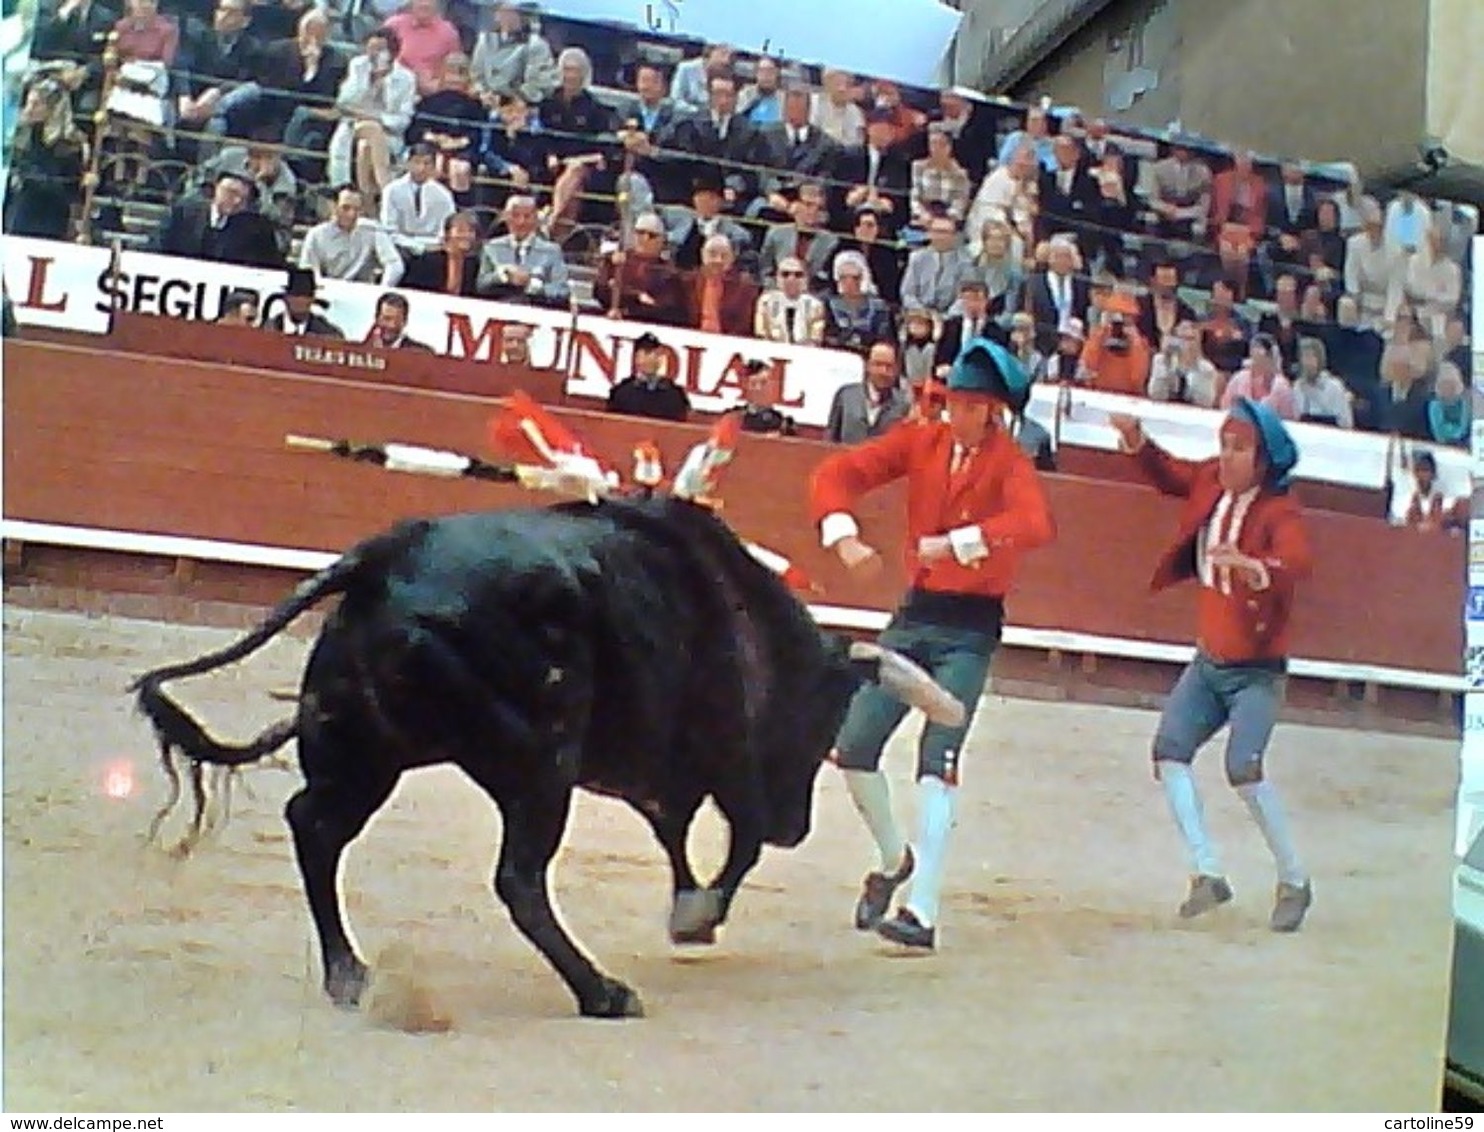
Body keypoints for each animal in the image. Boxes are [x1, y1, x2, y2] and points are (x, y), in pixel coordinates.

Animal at [130, 495, 961, 1020]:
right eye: (823, 722)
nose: (800, 826)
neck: (742, 612)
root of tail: (389, 554)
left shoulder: (662, 777)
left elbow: (677, 835)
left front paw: (688, 908)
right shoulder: (725, 758)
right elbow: (739, 839)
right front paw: (697, 916)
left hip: (368, 750)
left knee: (315, 824)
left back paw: (349, 975)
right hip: (538, 764)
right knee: (518, 878)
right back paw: (603, 994)